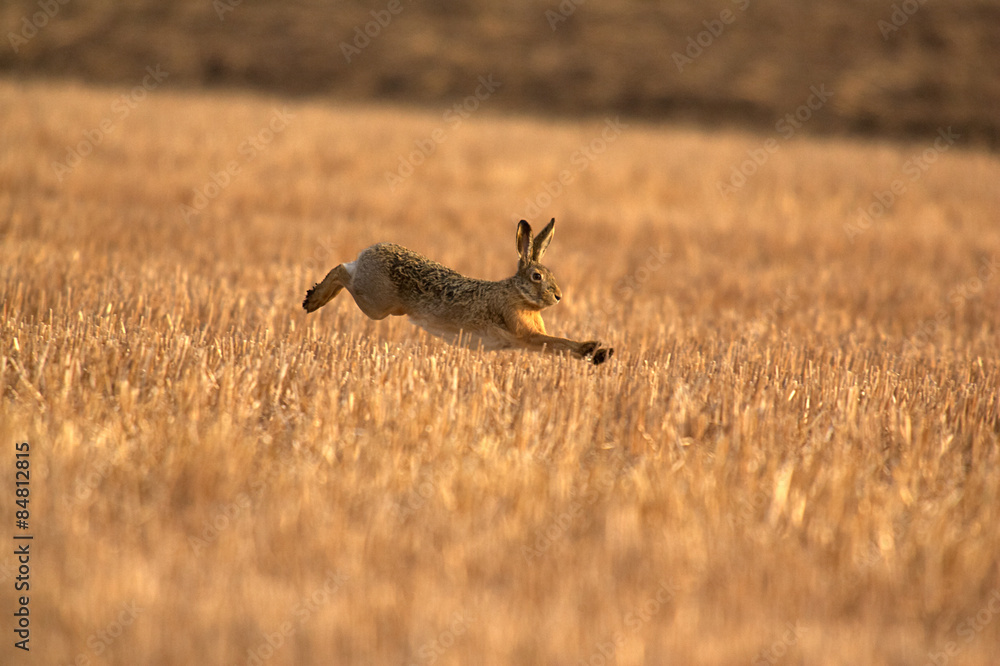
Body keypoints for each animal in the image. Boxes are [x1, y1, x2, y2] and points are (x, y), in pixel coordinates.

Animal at [302, 218, 614, 364]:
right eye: (537, 276)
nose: (559, 296)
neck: (517, 293)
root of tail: (371, 250)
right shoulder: (525, 335)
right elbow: (558, 342)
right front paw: (592, 348)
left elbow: (559, 348)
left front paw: (601, 355)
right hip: (376, 304)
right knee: (341, 270)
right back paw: (313, 300)